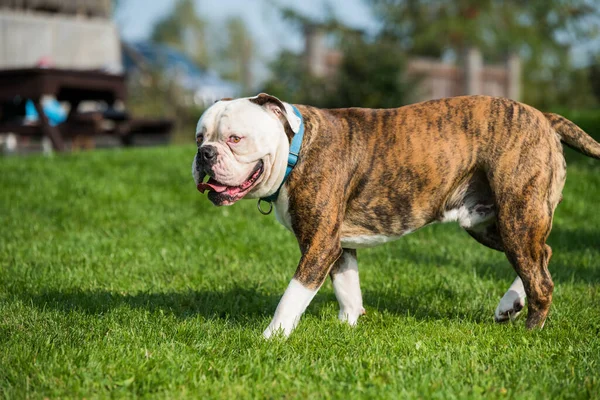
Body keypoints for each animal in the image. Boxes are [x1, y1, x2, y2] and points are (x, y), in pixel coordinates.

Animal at [192, 94, 600, 338]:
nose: (204, 154)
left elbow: (292, 295)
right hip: (487, 222)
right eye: (200, 137)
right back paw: (509, 305)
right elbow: (347, 286)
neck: (295, 146)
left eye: (234, 139)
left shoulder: (318, 246)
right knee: (541, 256)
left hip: (518, 214)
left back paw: (531, 329)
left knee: (540, 277)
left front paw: (270, 339)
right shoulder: (338, 245)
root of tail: (544, 117)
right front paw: (348, 324)